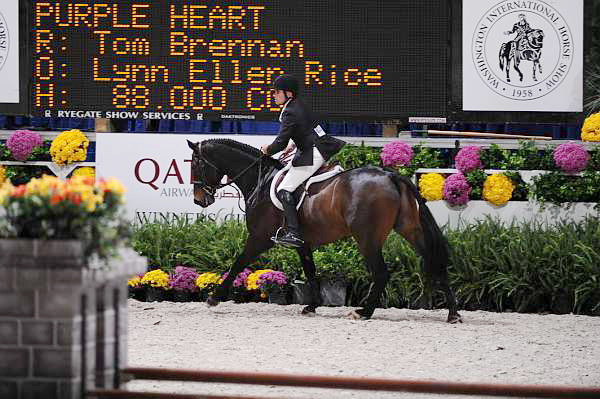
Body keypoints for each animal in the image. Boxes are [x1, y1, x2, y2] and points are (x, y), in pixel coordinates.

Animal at [190, 139, 462, 324]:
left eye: (195, 164)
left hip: (367, 237)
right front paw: (311, 306)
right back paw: (452, 313)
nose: (199, 200)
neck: (261, 179)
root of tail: (389, 175)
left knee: (381, 273)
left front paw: (214, 297)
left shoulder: (259, 238)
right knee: (435, 263)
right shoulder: (302, 242)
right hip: (409, 229)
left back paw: (364, 312)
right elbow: (310, 271)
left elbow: (238, 263)